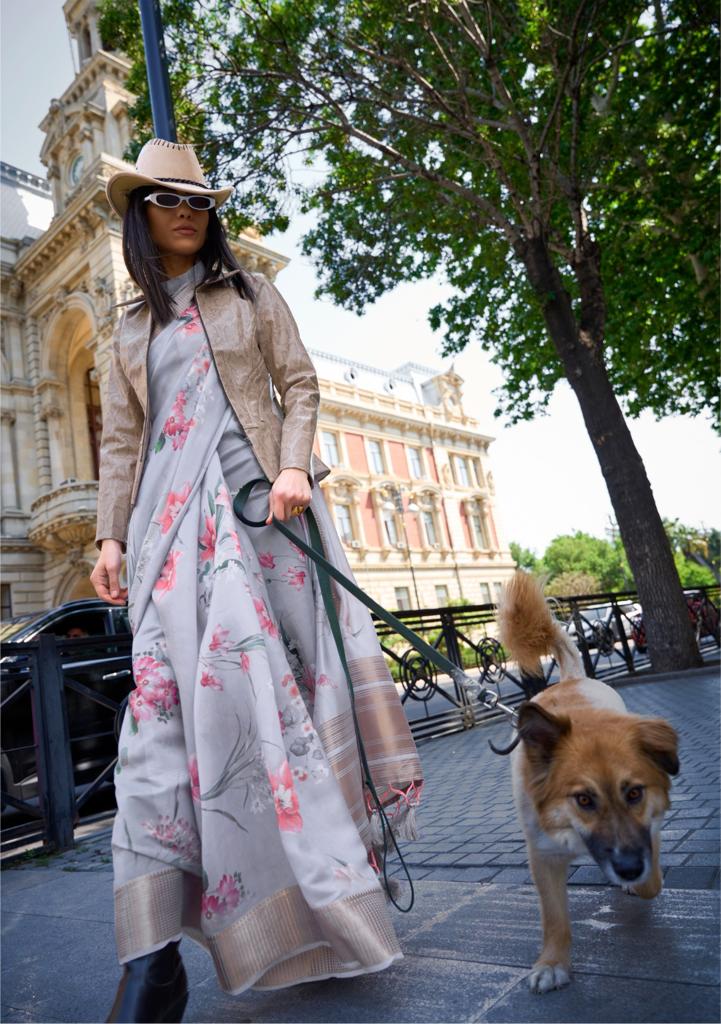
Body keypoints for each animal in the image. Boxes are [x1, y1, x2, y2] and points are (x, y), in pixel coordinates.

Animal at [497, 569, 680, 991]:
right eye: (583, 800)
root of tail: (569, 679)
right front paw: (552, 962)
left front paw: (637, 882)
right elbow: (553, 918)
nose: (628, 868)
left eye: (634, 793)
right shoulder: (543, 854)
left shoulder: (649, 829)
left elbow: (652, 879)